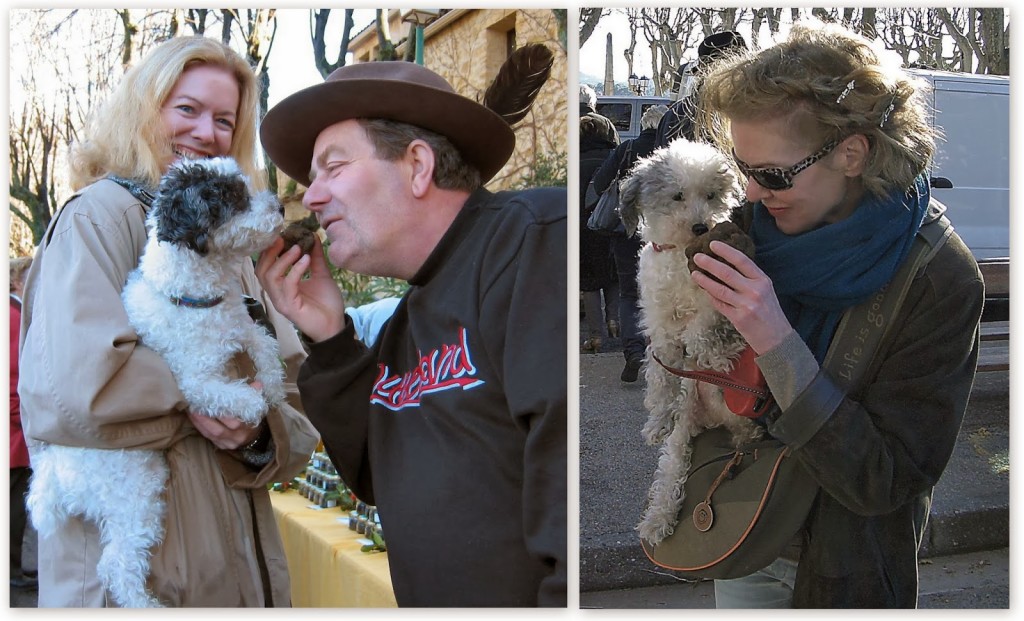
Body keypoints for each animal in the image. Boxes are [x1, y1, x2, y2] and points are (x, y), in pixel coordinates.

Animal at [29, 156, 284, 606]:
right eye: (232, 197)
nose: (282, 207)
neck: (194, 297)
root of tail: (54, 470)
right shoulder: (193, 383)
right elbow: (234, 397)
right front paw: (254, 408)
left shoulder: (240, 327)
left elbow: (267, 348)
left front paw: (273, 386)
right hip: (135, 494)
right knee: (116, 565)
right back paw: (144, 603)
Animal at [614, 138, 770, 549]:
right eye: (677, 196)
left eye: (712, 195)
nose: (703, 225)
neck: (680, 260)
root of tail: (712, 420)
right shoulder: (658, 323)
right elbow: (660, 374)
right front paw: (656, 420)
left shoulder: (718, 300)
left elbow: (701, 333)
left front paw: (719, 353)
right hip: (684, 430)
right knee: (671, 470)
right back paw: (658, 519)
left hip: (735, 410)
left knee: (742, 431)